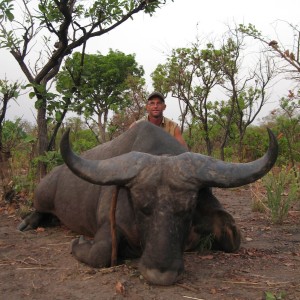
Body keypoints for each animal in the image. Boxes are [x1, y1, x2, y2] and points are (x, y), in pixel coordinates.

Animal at [18, 120, 276, 284]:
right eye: (142, 208)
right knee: (39, 210)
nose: (160, 274)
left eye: (186, 210)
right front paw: (79, 242)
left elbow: (231, 235)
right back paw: (28, 222)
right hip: (43, 196)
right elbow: (100, 253)